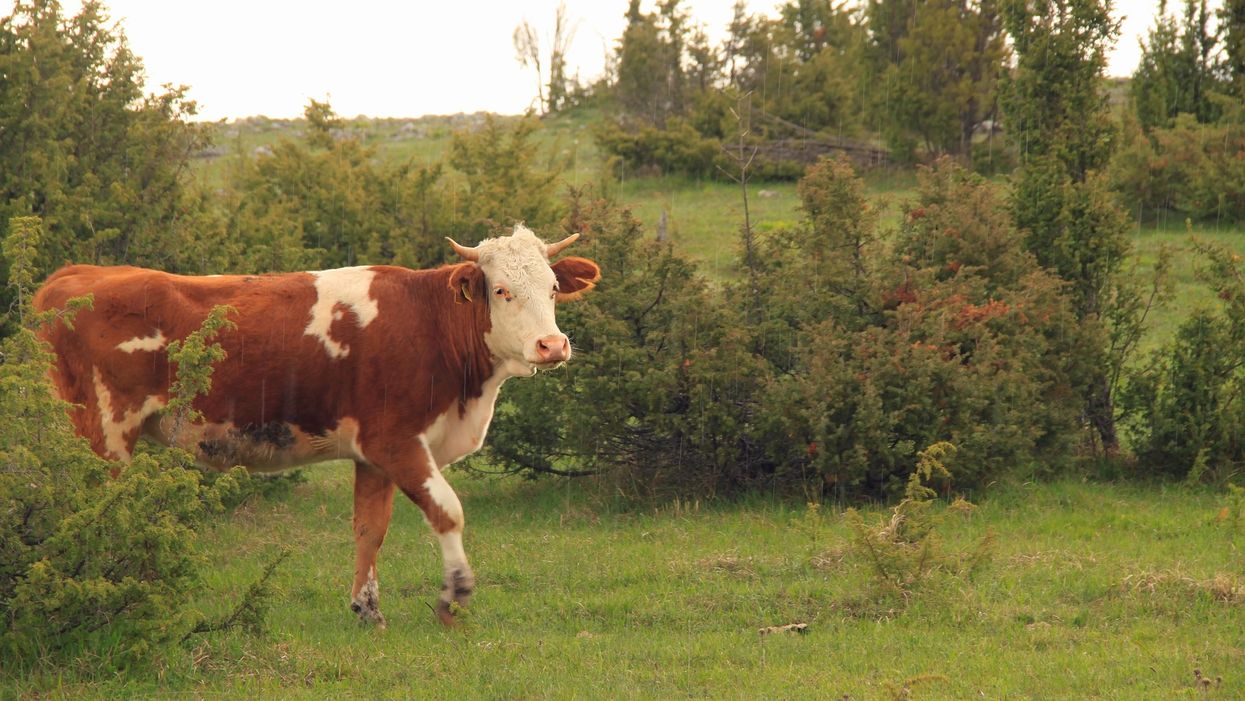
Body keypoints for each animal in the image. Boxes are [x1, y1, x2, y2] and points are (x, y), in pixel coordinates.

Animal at [35, 225, 602, 625]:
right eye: (501, 290)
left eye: (554, 288)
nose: (552, 345)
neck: (429, 326)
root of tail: (74, 275)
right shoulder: (396, 440)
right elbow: (448, 512)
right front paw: (453, 597)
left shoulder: (373, 454)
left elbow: (370, 529)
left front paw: (367, 609)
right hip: (104, 429)